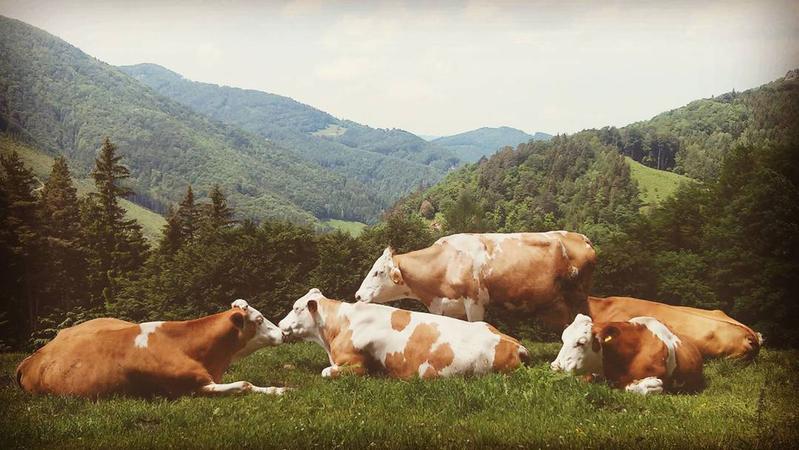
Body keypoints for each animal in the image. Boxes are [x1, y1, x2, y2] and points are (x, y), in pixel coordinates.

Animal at [16, 298, 288, 398]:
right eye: (259, 319)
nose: (282, 332)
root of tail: (32, 357)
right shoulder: (189, 386)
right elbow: (244, 384)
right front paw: (280, 390)